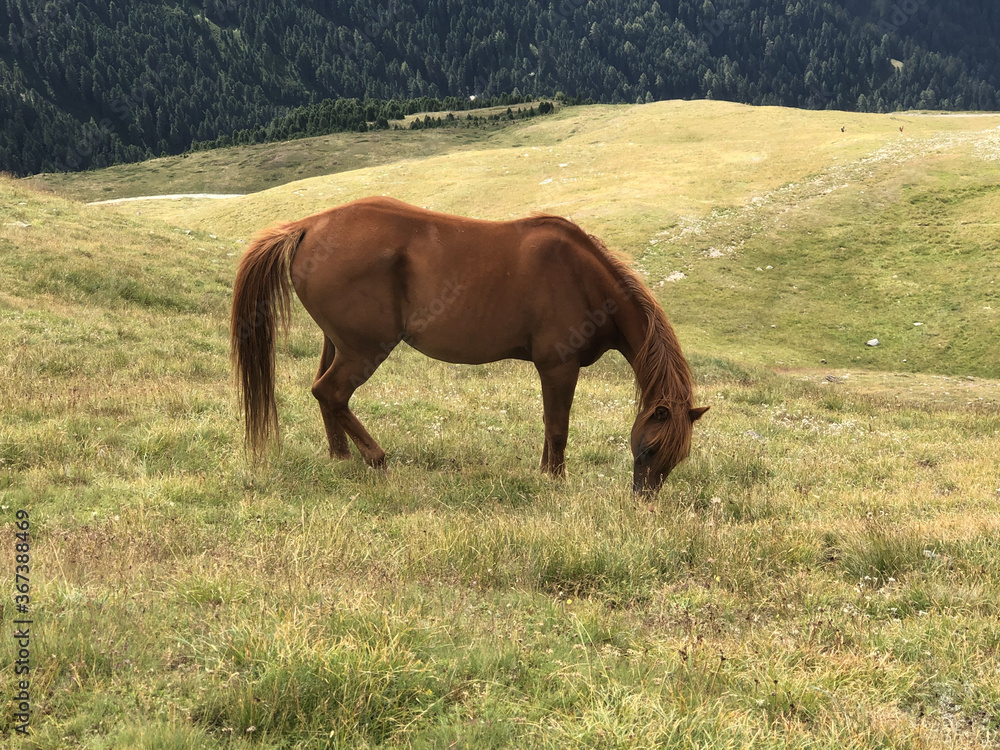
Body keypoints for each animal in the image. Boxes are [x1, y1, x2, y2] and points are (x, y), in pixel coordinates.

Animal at [230, 197, 708, 494]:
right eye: (649, 448)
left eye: (677, 457)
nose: (644, 501)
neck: (584, 278)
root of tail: (309, 226)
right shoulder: (559, 365)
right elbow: (558, 428)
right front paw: (554, 481)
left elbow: (550, 427)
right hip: (364, 350)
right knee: (331, 392)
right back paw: (377, 459)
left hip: (338, 343)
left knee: (324, 394)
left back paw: (341, 457)